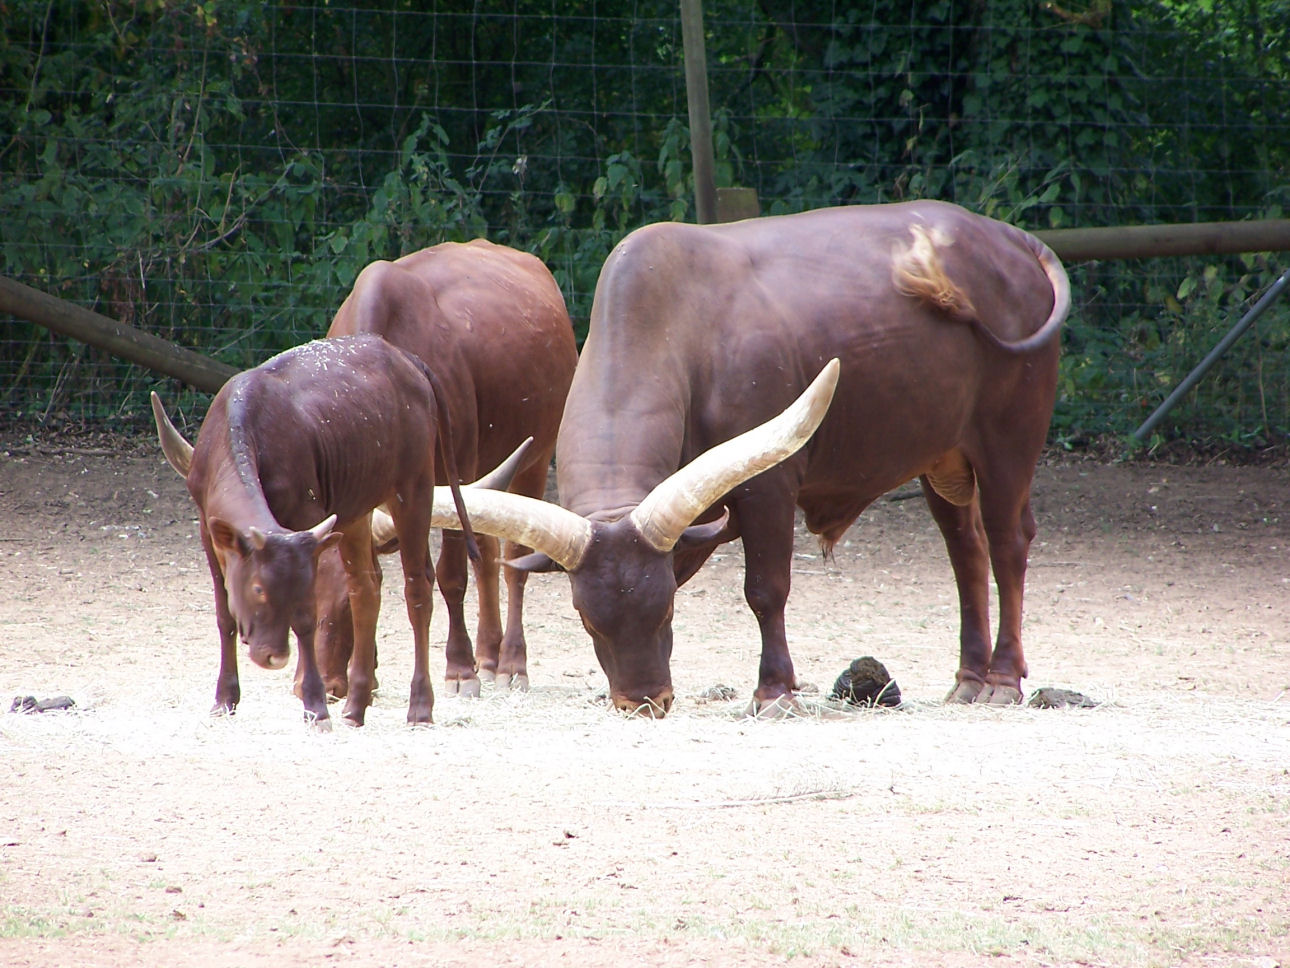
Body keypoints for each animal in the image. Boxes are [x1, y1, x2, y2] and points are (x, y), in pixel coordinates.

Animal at [150, 332, 474, 727]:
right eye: (258, 588)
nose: (273, 655)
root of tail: (404, 358)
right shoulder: (209, 531)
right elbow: (225, 614)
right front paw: (225, 698)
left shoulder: (307, 521)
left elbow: (307, 616)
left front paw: (315, 705)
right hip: (357, 508)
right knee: (365, 588)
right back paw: (355, 707)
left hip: (414, 486)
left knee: (418, 588)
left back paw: (420, 707)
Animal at [415, 202, 1068, 722]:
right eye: (587, 619)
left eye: (665, 610)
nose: (644, 702)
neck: (677, 332)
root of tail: (1012, 239)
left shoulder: (768, 489)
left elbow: (766, 590)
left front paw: (774, 692)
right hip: (943, 457)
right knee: (966, 551)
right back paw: (968, 680)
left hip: (1009, 439)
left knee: (1008, 542)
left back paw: (1002, 680)